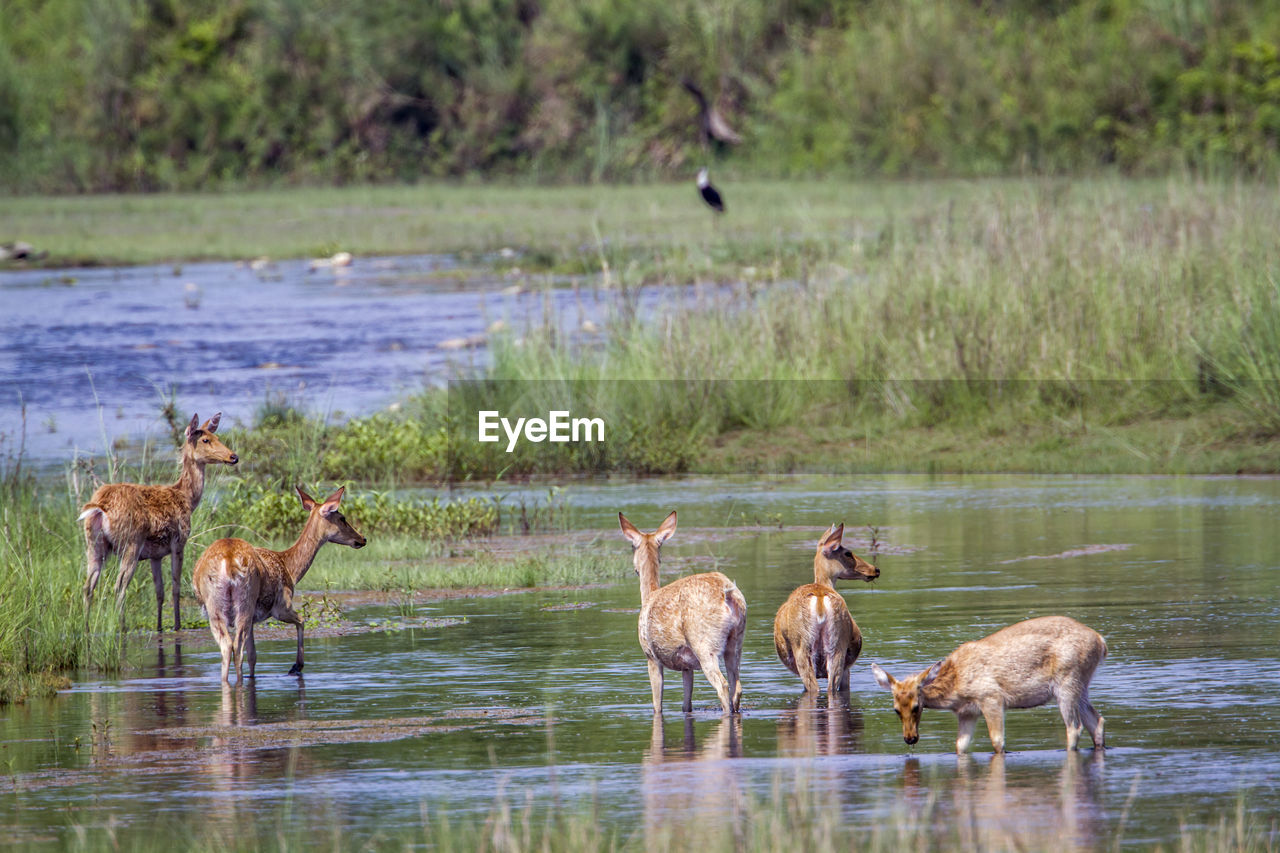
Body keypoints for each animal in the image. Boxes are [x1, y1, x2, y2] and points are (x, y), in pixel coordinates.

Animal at [79, 409, 238, 627]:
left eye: (218, 437)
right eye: (205, 439)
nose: (233, 456)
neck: (186, 498)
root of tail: (100, 508)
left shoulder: (155, 555)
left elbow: (159, 592)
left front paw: (160, 626)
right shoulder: (179, 541)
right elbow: (176, 588)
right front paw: (177, 625)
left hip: (94, 545)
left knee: (88, 587)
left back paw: (87, 629)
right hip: (131, 542)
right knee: (119, 587)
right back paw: (122, 627)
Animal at [193, 484, 366, 686]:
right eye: (342, 518)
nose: (362, 538)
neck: (290, 569)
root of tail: (228, 562)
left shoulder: (254, 620)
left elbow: (253, 656)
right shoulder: (281, 605)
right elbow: (302, 620)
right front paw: (296, 667)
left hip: (214, 605)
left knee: (227, 646)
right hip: (246, 600)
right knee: (236, 646)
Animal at [619, 507, 747, 712]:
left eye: (632, 546)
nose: (635, 569)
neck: (649, 594)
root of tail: (728, 594)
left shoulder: (651, 656)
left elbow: (657, 705)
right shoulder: (686, 666)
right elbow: (686, 704)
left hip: (704, 644)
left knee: (723, 685)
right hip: (737, 641)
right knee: (737, 687)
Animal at [870, 612, 1111, 753]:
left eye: (916, 706)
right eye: (895, 709)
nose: (910, 739)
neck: (955, 690)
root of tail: (1101, 641)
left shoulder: (991, 698)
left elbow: (997, 742)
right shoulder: (967, 713)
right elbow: (960, 747)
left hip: (1067, 682)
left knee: (1075, 728)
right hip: (1081, 685)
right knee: (1096, 721)